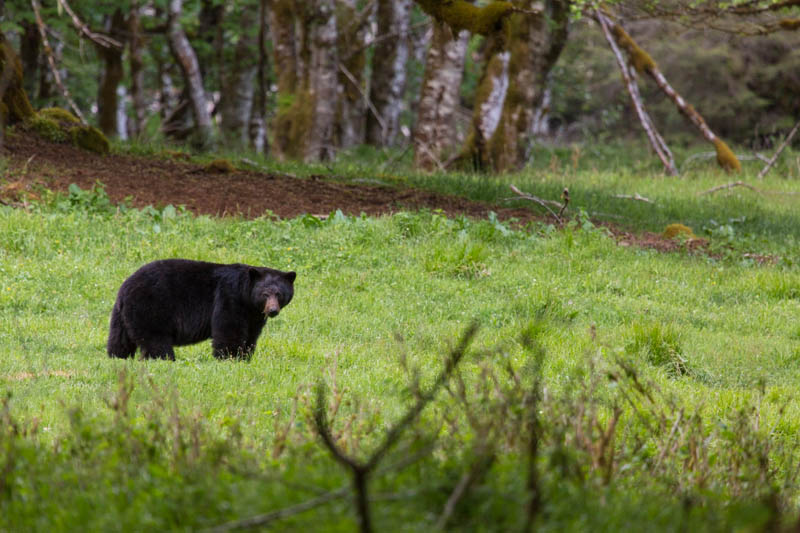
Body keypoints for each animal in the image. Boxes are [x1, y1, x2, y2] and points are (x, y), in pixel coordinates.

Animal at [105, 258, 294, 362]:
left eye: (279, 294)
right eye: (265, 294)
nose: (272, 310)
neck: (246, 296)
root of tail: (124, 289)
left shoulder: (253, 315)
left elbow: (251, 335)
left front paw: (245, 357)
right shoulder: (229, 297)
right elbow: (228, 329)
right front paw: (230, 358)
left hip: (122, 316)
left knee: (119, 339)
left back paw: (117, 357)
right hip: (150, 308)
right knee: (155, 340)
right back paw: (166, 359)